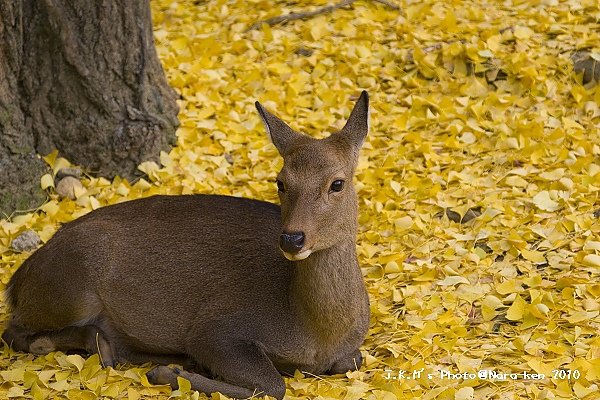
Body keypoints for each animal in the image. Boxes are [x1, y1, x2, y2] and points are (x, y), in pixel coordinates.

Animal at [2, 91, 370, 400]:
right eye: (280, 182)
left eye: (337, 183)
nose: (292, 238)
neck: (317, 335)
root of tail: (17, 280)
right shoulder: (216, 328)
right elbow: (272, 385)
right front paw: (170, 372)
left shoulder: (350, 349)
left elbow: (351, 360)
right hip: (70, 287)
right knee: (16, 332)